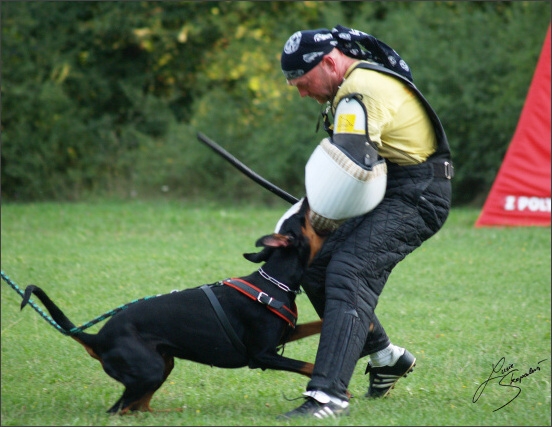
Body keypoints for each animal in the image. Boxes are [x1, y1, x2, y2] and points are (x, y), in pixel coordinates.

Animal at [20, 200, 324, 414]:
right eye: (300, 218)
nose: (306, 199)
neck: (275, 283)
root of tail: (96, 338)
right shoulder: (261, 355)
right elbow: (308, 365)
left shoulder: (284, 337)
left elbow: (317, 326)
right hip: (151, 369)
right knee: (119, 410)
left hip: (164, 363)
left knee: (139, 408)